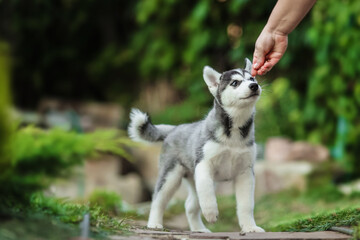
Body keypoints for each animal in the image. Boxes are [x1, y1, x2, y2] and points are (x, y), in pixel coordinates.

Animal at [129, 58, 264, 232]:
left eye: (252, 79)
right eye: (235, 83)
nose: (254, 86)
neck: (233, 134)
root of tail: (175, 128)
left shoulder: (245, 172)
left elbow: (246, 205)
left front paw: (250, 227)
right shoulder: (204, 164)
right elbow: (206, 193)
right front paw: (211, 213)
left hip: (194, 180)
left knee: (189, 205)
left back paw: (198, 229)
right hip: (170, 176)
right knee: (158, 200)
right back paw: (154, 224)